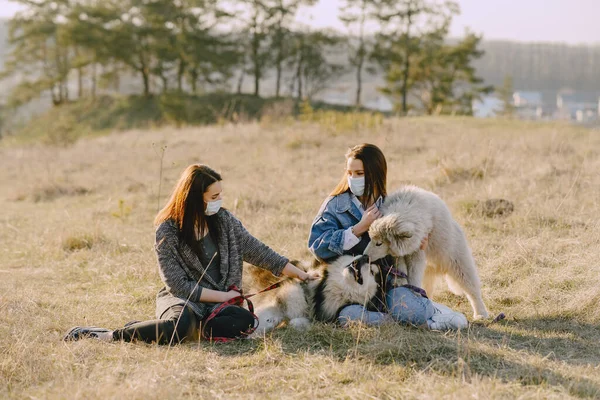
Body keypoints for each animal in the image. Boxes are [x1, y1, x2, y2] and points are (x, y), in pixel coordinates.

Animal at [245, 255, 382, 336]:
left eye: (372, 271)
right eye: (356, 254)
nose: (365, 256)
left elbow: (296, 322)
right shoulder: (283, 296)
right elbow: (263, 315)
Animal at [364, 186, 490, 320]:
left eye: (379, 243)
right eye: (370, 238)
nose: (365, 255)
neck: (402, 207)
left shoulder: (418, 248)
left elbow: (414, 271)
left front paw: (413, 290)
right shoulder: (402, 252)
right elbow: (400, 266)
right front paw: (400, 282)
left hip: (458, 261)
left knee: (471, 286)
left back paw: (480, 314)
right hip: (429, 272)